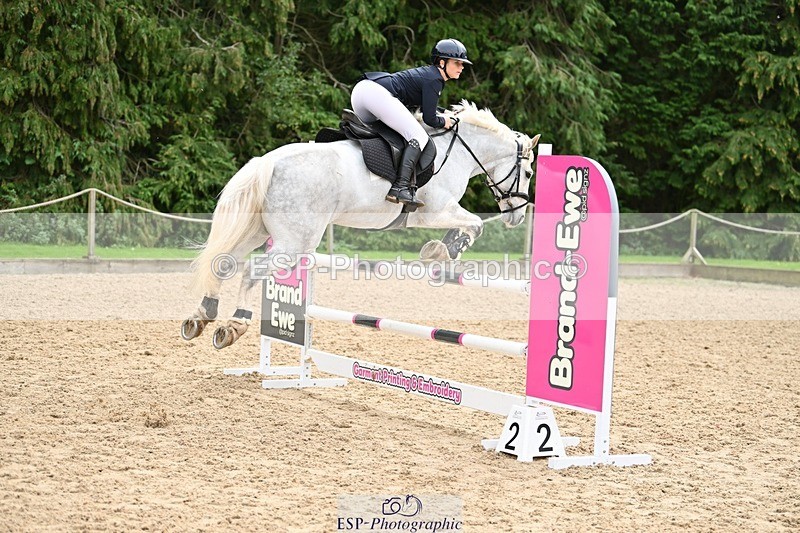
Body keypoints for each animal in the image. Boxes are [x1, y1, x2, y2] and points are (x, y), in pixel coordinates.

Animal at [181, 100, 540, 348]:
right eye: (528, 173)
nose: (517, 216)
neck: (460, 150)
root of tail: (267, 162)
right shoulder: (435, 211)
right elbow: (475, 224)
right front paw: (442, 251)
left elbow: (471, 224)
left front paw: (439, 250)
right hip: (294, 244)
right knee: (251, 271)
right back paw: (233, 325)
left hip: (260, 232)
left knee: (224, 263)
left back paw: (201, 316)